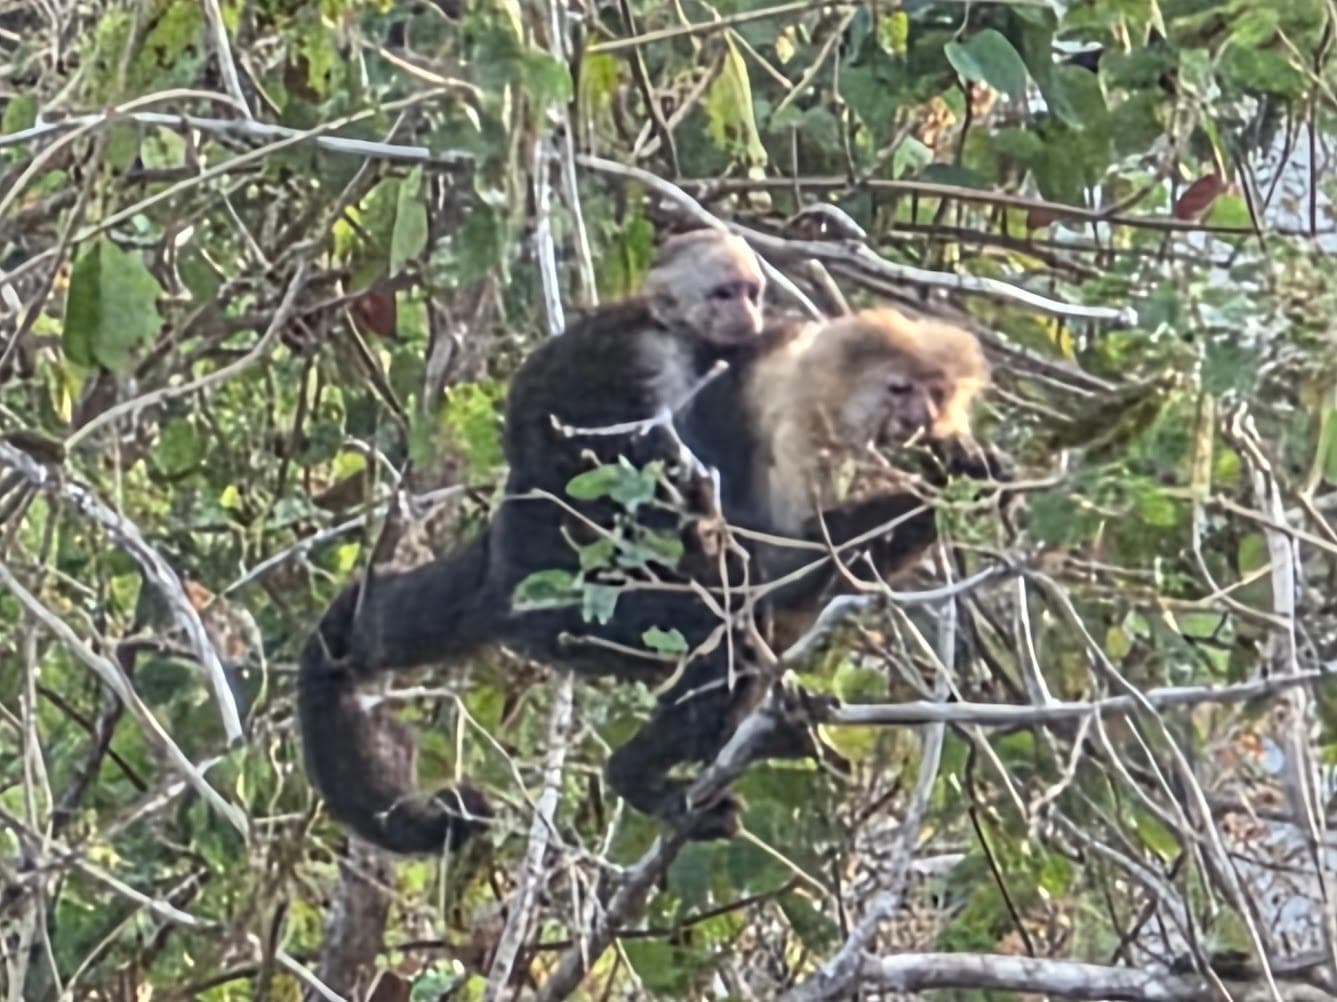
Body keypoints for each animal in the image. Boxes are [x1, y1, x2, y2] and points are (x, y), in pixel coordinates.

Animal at [297, 227, 772, 855]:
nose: (748, 314)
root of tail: (498, 564)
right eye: (723, 293)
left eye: (752, 292)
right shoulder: (653, 364)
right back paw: (635, 775)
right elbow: (654, 472)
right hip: (560, 608)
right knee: (714, 633)